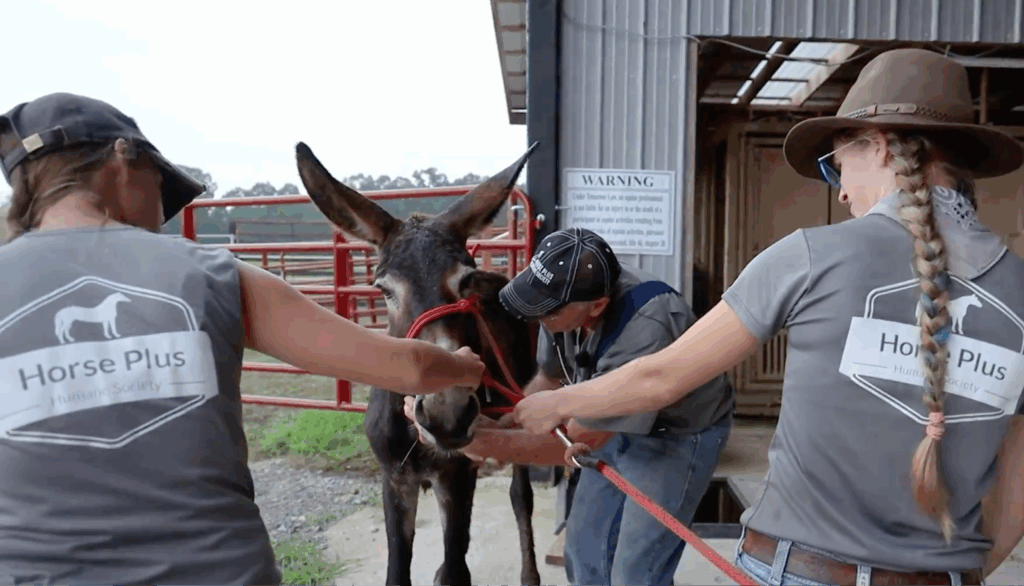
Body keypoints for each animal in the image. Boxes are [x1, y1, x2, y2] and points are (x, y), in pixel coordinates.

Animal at [294, 142, 542, 586]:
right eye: (383, 289)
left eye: (465, 280)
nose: (447, 412)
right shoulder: (395, 479)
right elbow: (399, 572)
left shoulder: (455, 478)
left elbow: (457, 571)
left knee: (520, 495)